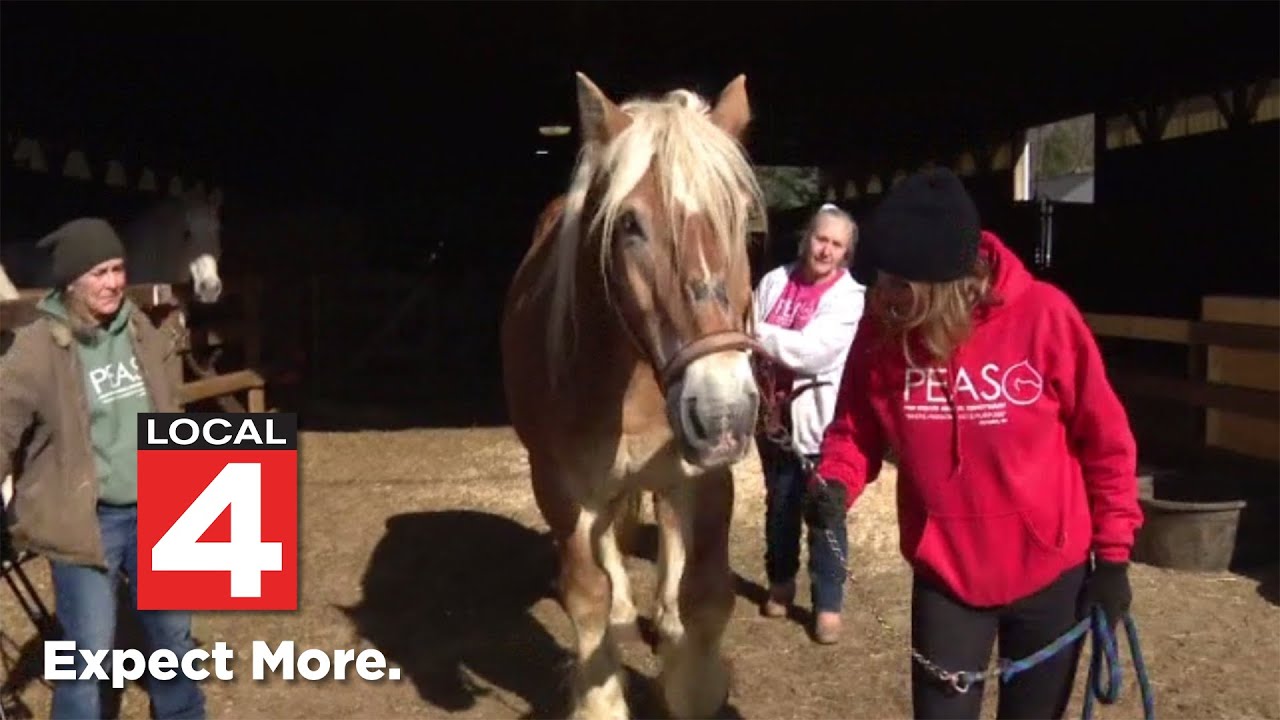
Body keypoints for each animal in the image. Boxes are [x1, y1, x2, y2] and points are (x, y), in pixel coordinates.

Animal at [501, 73, 767, 720]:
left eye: (739, 215)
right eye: (629, 225)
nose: (722, 409)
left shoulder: (706, 476)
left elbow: (706, 595)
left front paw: (690, 682)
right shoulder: (560, 487)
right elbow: (587, 595)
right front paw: (602, 698)